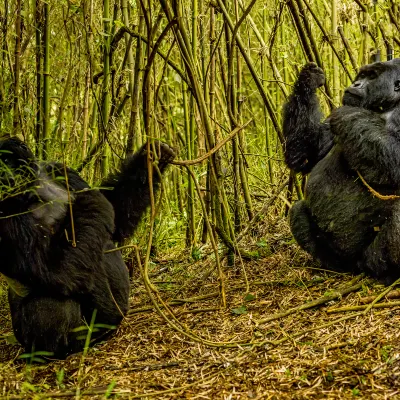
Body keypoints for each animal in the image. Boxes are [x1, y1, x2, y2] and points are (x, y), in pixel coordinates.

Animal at [0, 139, 175, 358]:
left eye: (6, 160)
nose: (5, 176)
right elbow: (53, 269)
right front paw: (89, 199)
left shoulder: (59, 169)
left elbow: (115, 213)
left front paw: (148, 159)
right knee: (50, 302)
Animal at [282, 59, 400, 284]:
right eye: (361, 76)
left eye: (372, 76)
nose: (355, 84)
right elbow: (306, 154)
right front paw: (308, 79)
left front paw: (350, 115)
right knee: (297, 209)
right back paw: (331, 264)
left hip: (367, 258)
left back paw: (386, 272)